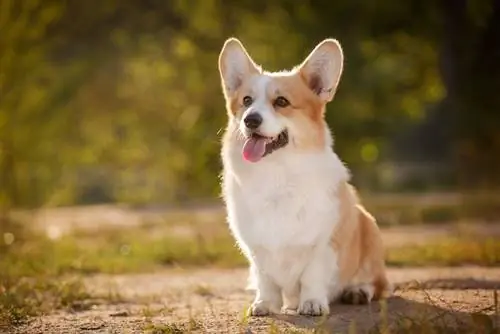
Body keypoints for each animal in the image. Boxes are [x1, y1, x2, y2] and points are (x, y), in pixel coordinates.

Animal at [217, 36, 392, 316]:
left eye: (281, 102)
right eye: (246, 101)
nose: (250, 120)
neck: (276, 174)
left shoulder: (324, 243)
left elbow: (312, 276)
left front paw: (312, 304)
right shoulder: (257, 248)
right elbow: (265, 279)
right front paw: (264, 304)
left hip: (369, 227)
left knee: (378, 283)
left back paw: (357, 292)